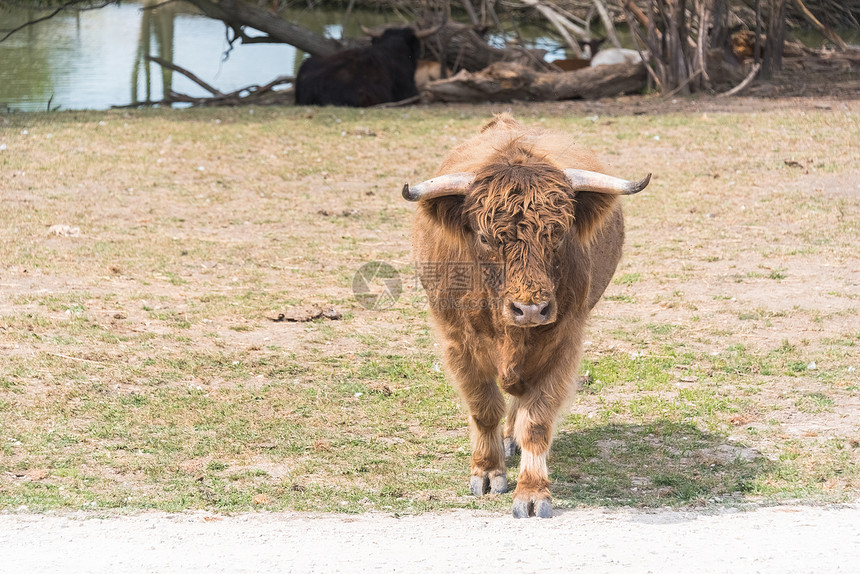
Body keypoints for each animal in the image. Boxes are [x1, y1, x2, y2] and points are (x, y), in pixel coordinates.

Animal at [404, 115, 652, 520]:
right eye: (485, 237)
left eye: (558, 232)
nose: (531, 308)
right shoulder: (456, 339)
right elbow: (483, 406)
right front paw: (487, 473)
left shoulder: (564, 343)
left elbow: (536, 420)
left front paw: (533, 494)